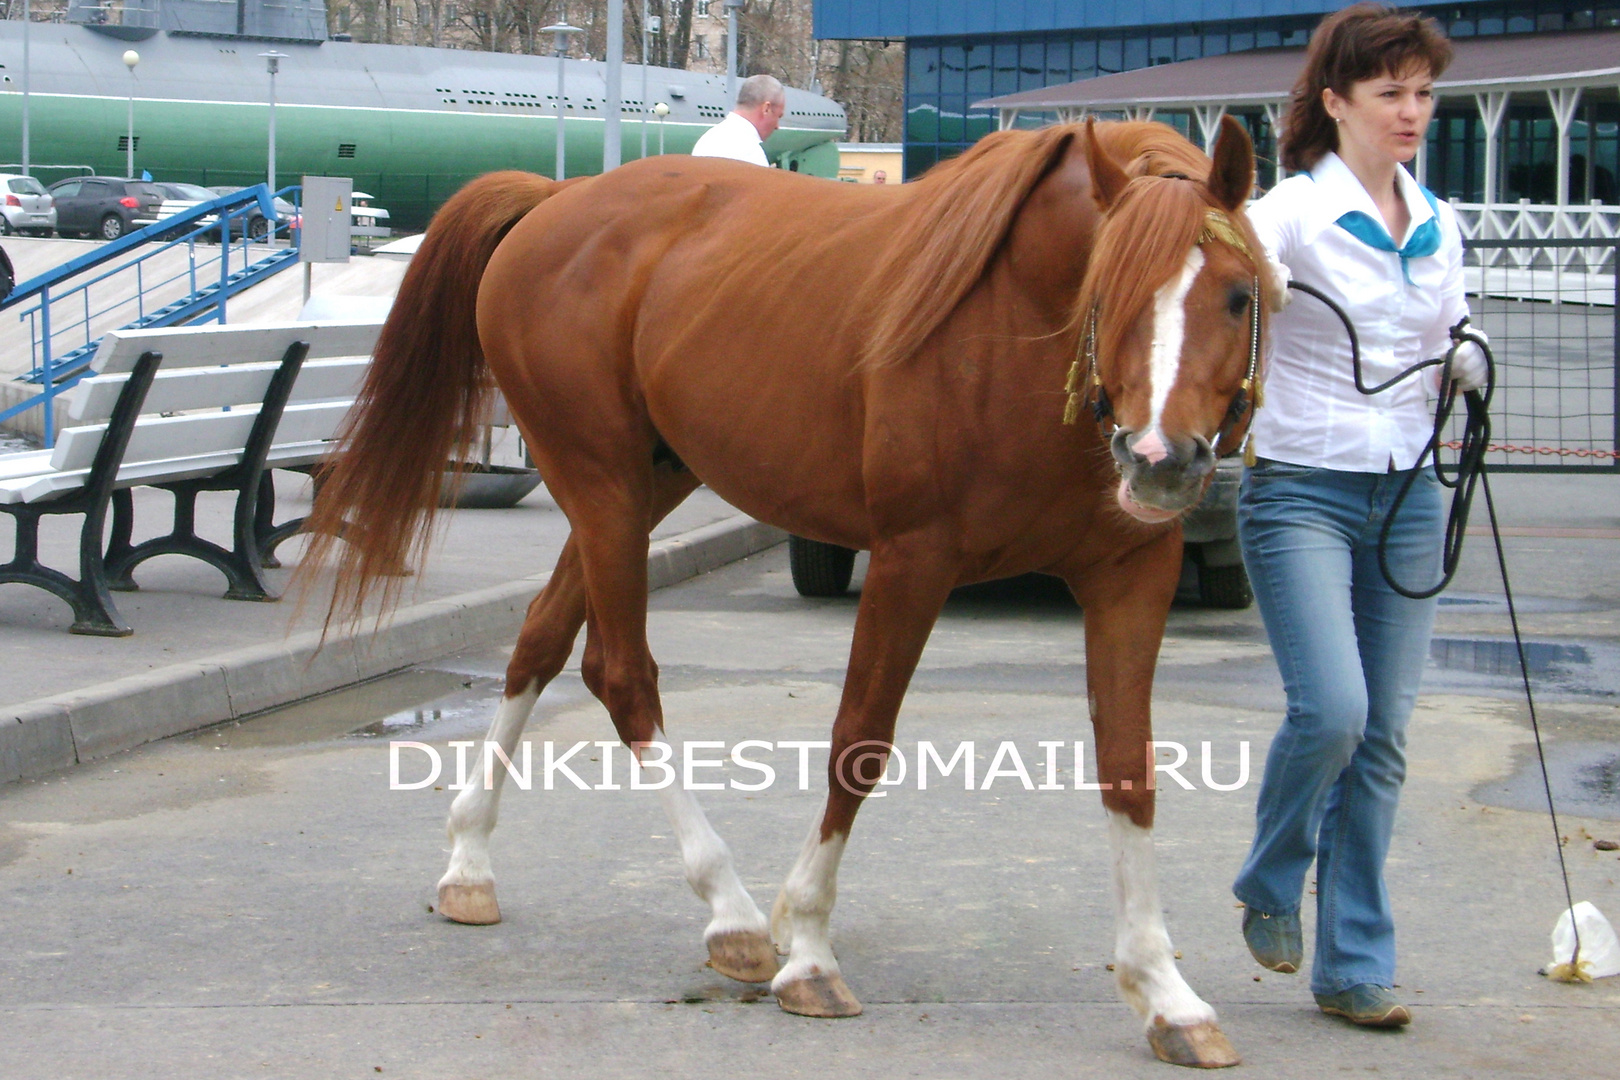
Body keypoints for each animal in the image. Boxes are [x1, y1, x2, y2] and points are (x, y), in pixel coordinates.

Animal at [304, 116, 1270, 1062]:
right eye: (1110, 291)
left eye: (1238, 294)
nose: (1163, 460)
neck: (1013, 323)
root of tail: (555, 198)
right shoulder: (913, 559)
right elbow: (859, 743)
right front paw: (806, 945)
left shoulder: (1130, 577)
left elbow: (1129, 770)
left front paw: (1165, 991)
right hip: (601, 484)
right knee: (622, 677)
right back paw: (729, 911)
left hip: (648, 482)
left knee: (538, 639)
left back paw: (469, 863)